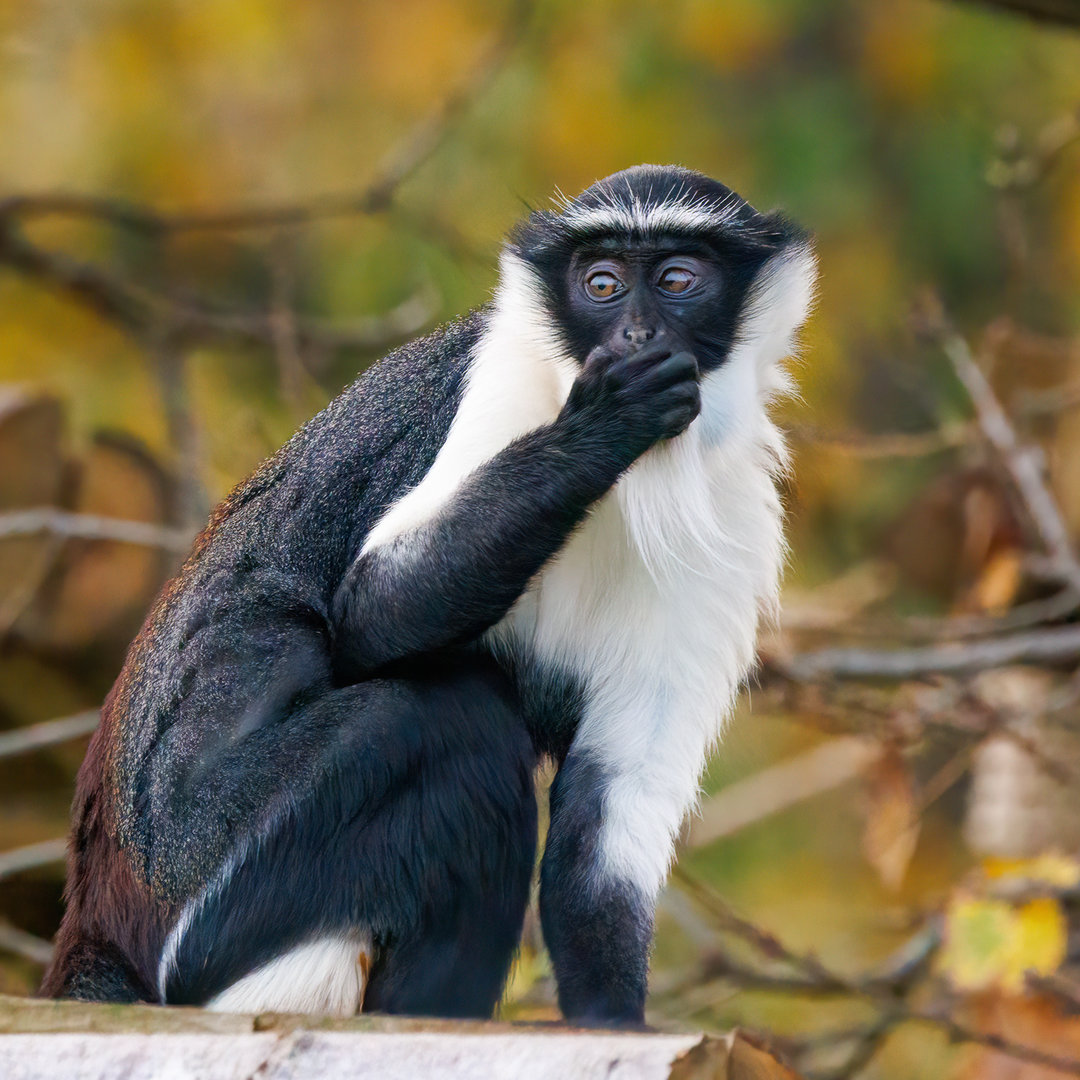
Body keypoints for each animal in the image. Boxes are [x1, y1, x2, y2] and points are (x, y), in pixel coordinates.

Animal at [41, 165, 815, 1026]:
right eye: (603, 284)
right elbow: (372, 611)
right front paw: (603, 424)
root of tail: (95, 914)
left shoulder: (736, 518)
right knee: (441, 722)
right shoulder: (501, 383)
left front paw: (612, 1022)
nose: (638, 336)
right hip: (203, 885)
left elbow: (615, 810)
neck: (648, 475)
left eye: (678, 280)